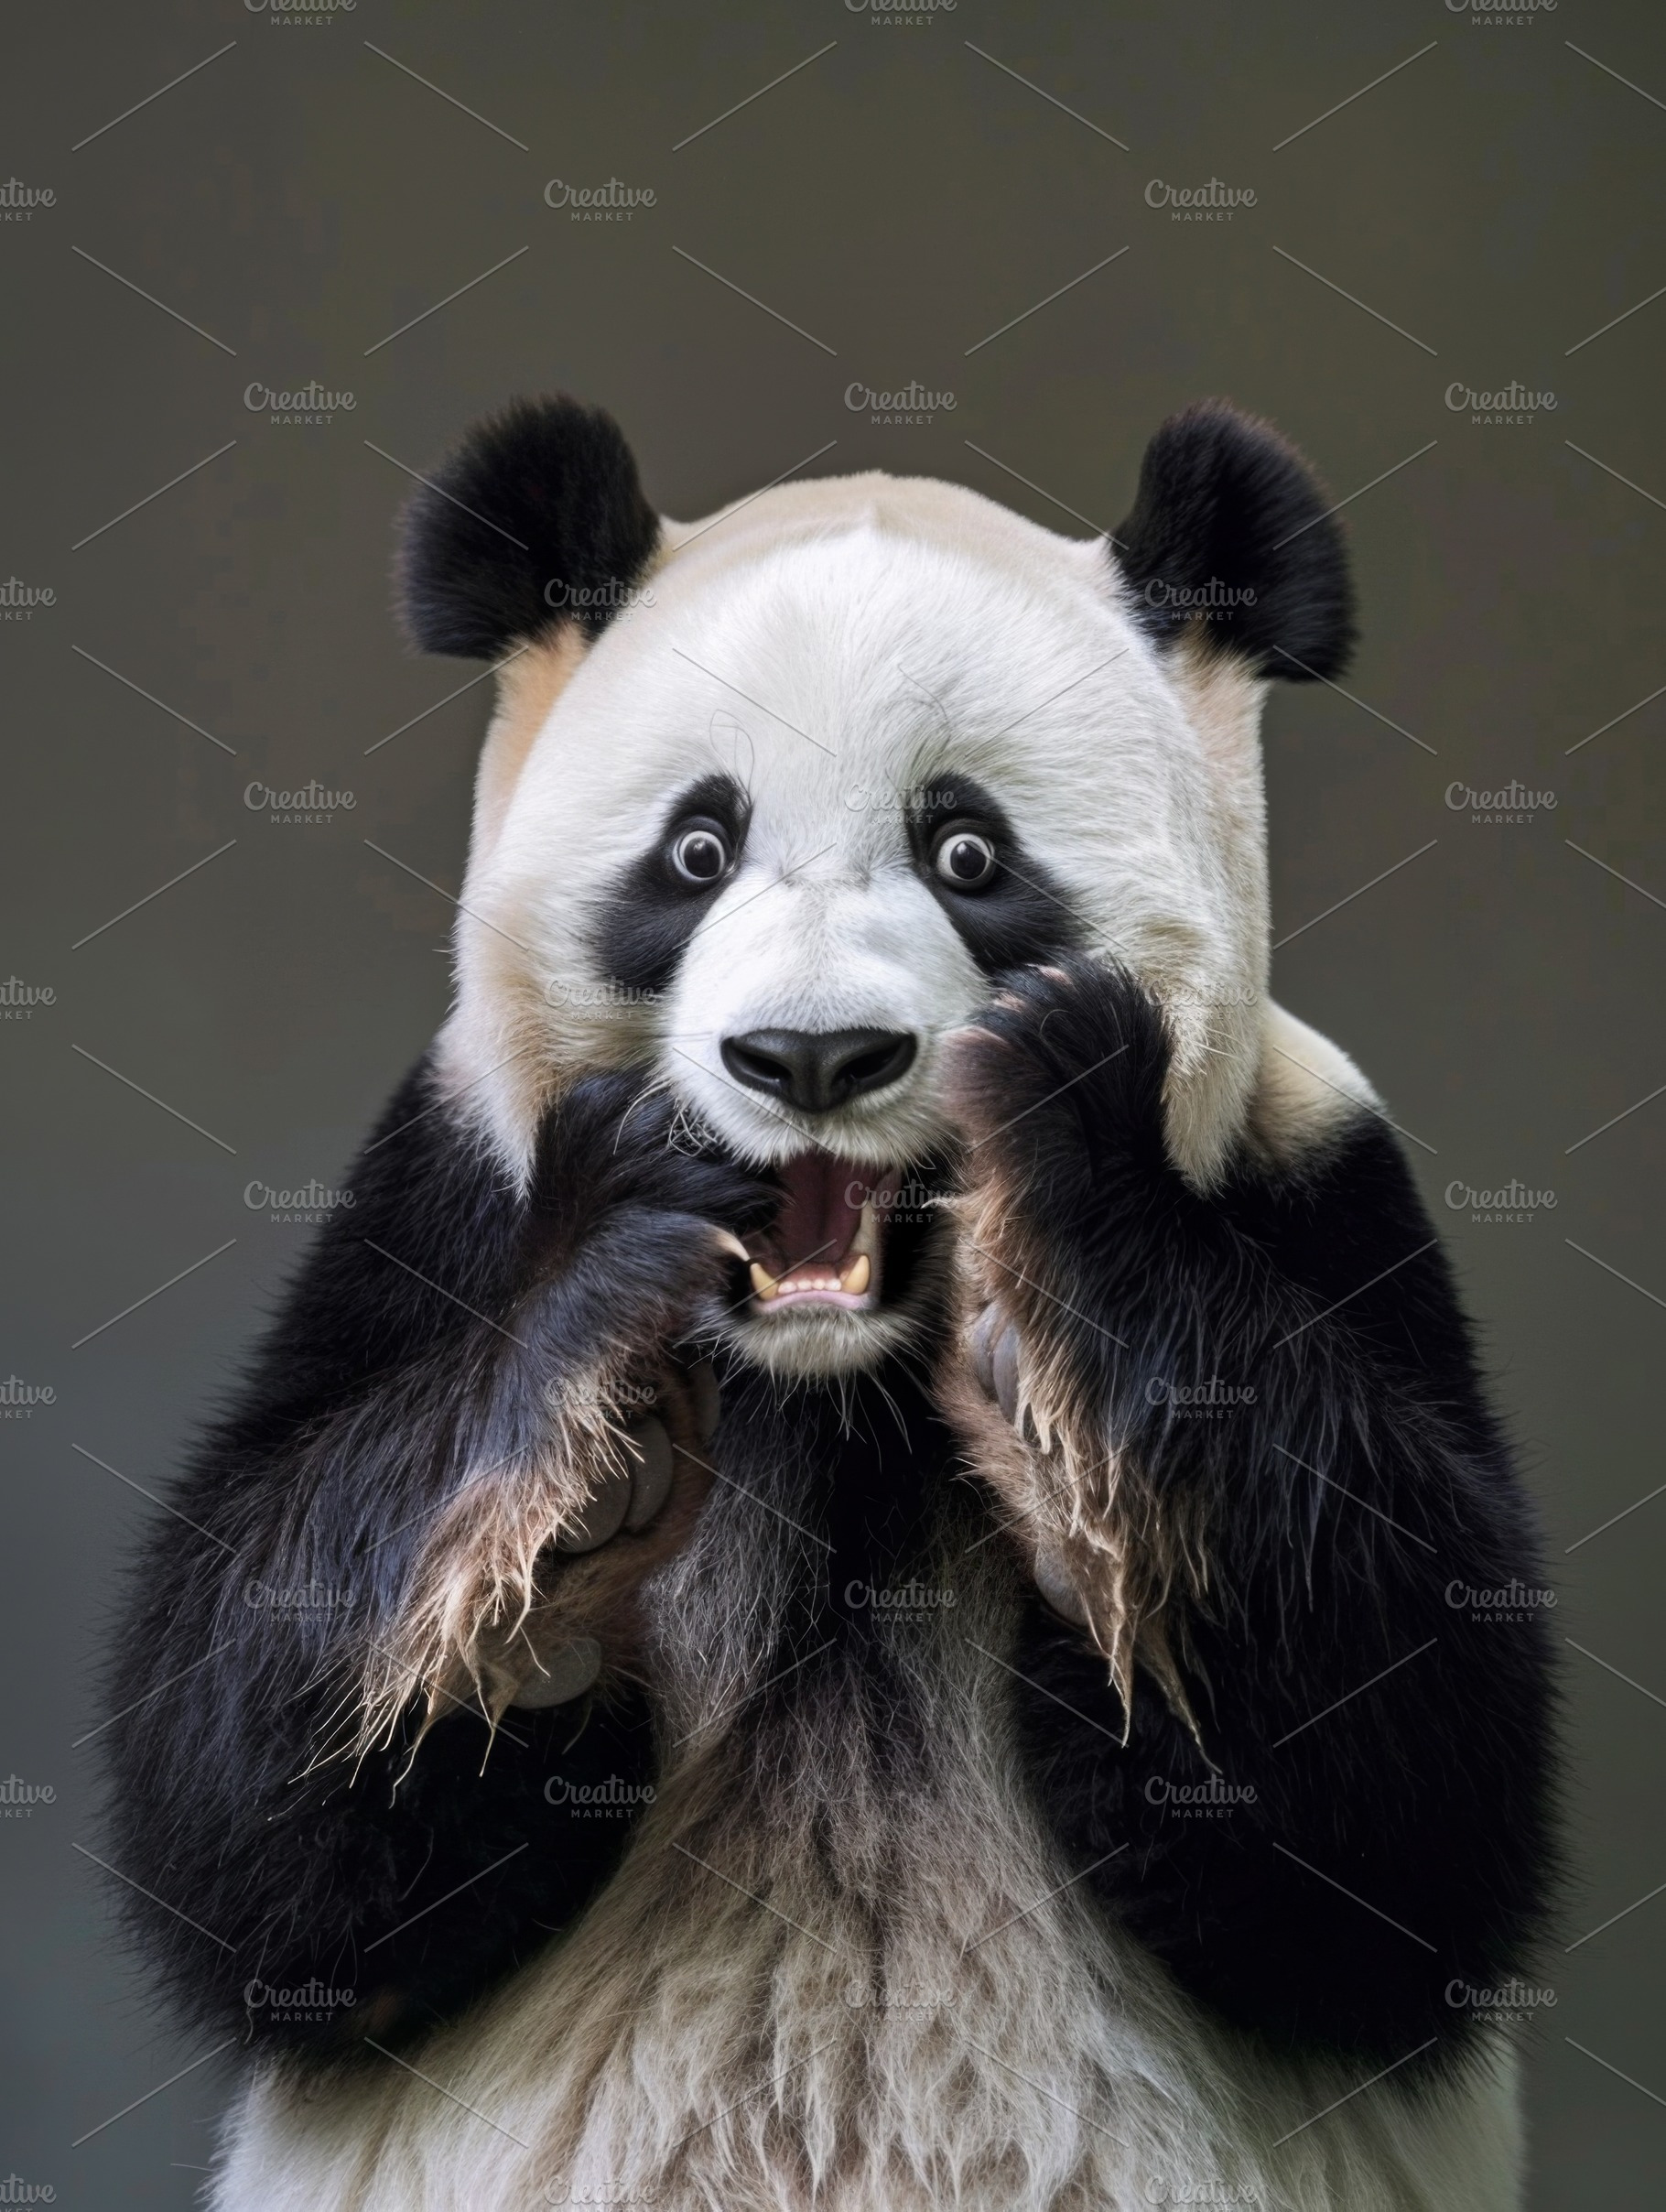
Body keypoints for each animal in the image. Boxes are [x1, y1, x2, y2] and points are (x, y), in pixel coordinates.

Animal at [108, 395, 1556, 2212]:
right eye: (697, 846)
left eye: (969, 849)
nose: (809, 1057)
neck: (833, 1381)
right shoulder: (437, 1201)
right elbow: (251, 1809)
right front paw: (571, 1499)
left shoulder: (1320, 1191)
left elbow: (1408, 1818)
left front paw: (1067, 1360)